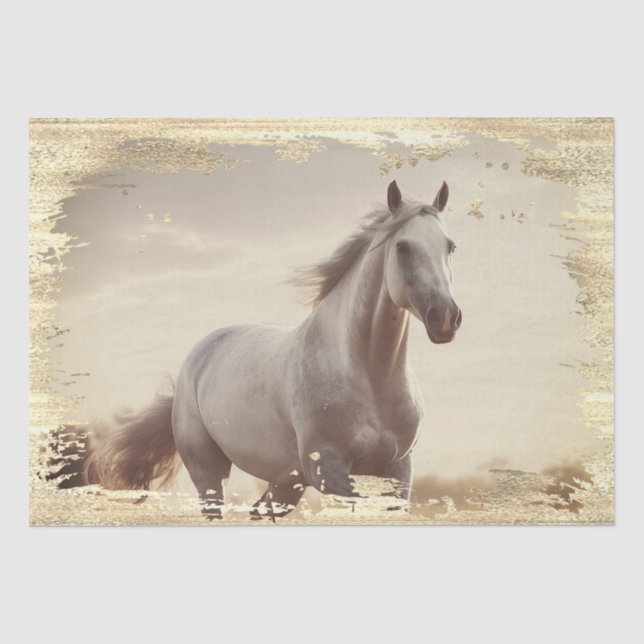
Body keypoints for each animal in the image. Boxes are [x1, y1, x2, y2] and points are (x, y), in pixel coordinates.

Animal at [86, 180, 462, 519]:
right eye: (403, 247)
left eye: (451, 247)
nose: (445, 317)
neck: (367, 374)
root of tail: (197, 359)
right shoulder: (328, 469)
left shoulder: (398, 470)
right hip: (208, 472)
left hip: (286, 483)